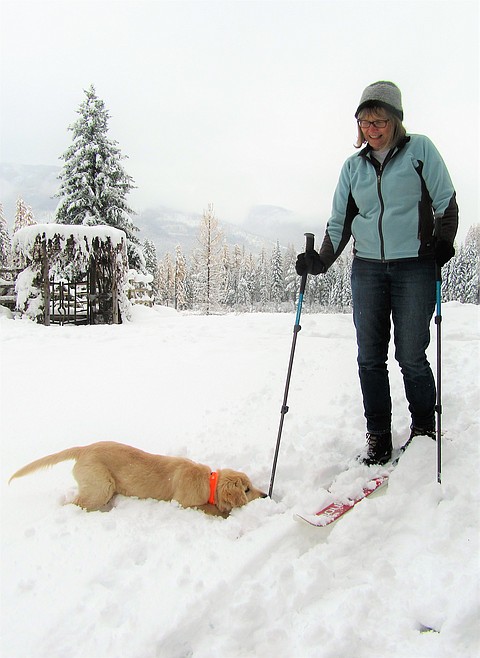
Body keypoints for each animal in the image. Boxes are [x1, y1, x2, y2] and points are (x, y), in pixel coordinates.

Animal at [9, 441, 267, 516]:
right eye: (246, 490)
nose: (266, 495)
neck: (209, 482)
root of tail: (83, 449)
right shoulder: (184, 503)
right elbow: (210, 509)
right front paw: (227, 514)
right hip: (101, 485)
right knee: (75, 503)